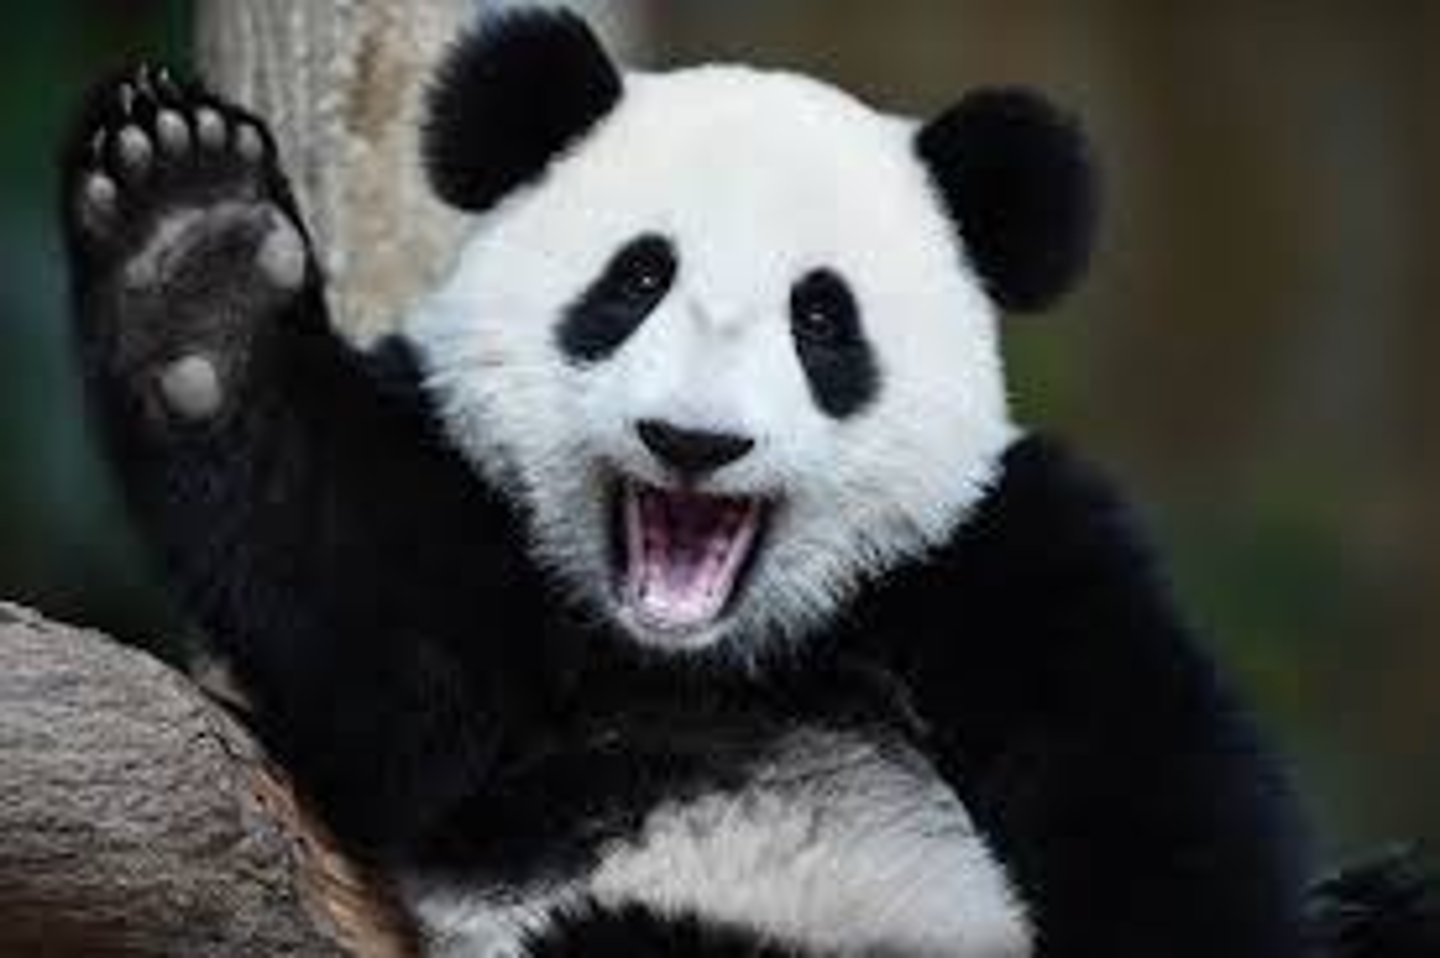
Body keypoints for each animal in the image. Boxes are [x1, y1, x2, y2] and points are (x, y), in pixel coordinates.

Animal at [58, 6, 1432, 958]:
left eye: (822, 320)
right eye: (635, 281)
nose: (694, 441)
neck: (712, 658)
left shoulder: (997, 549)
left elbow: (1153, 792)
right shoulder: (468, 544)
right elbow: (404, 663)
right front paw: (198, 259)